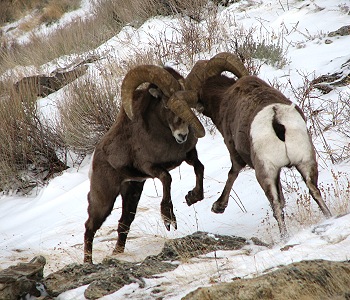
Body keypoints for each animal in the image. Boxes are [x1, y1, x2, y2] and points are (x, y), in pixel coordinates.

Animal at [83, 63, 205, 262]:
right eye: (166, 104)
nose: (182, 135)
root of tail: (95, 158)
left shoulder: (189, 155)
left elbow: (199, 168)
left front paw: (193, 197)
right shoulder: (150, 168)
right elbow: (167, 178)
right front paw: (168, 220)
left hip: (132, 191)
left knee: (124, 223)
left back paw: (117, 254)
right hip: (104, 200)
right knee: (90, 227)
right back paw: (88, 263)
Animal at [182, 52, 332, 238]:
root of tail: (276, 119)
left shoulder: (233, 150)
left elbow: (233, 172)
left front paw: (217, 206)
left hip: (265, 173)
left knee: (275, 205)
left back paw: (284, 237)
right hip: (306, 162)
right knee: (314, 191)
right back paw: (328, 217)